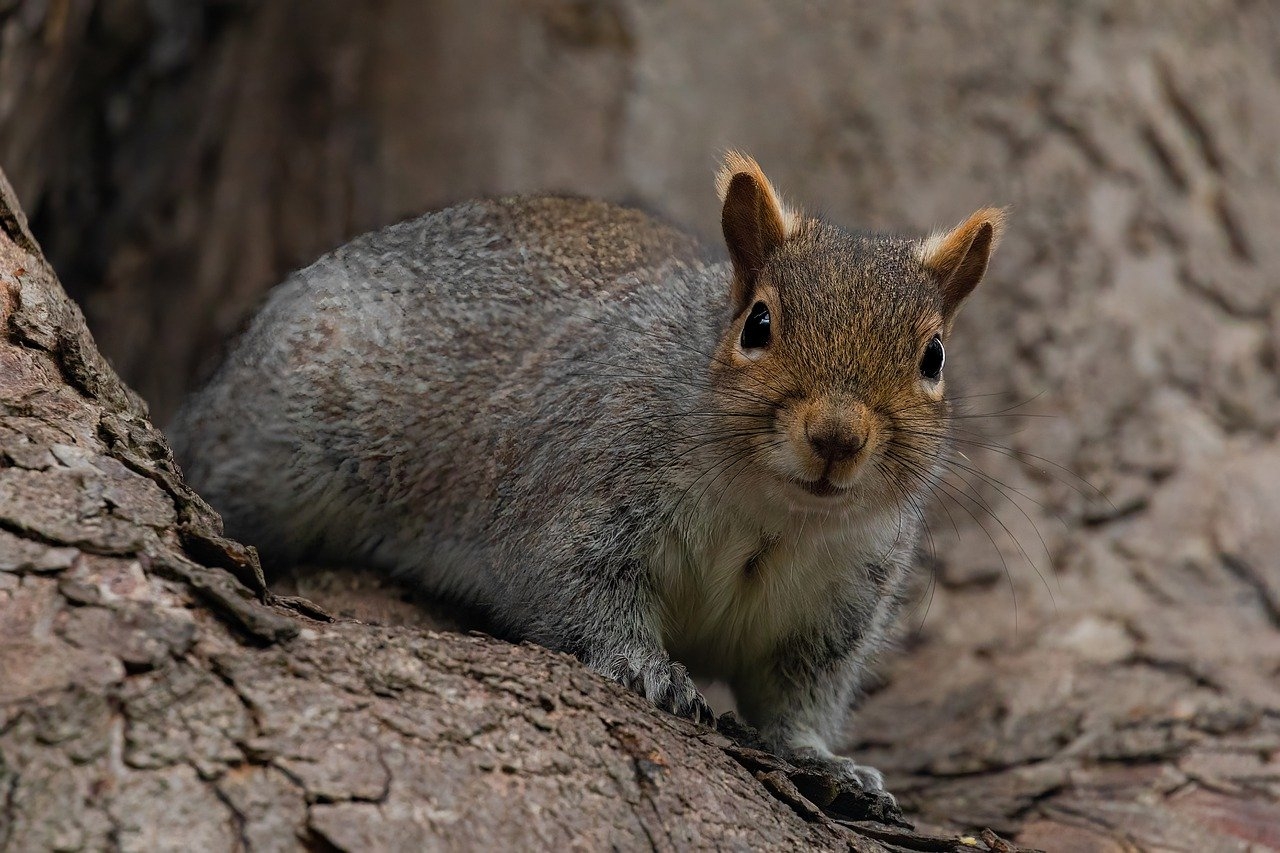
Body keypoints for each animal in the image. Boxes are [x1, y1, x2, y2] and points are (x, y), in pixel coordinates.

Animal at [170, 151, 1003, 788]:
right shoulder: (583, 489)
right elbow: (575, 590)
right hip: (276, 441)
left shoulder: (840, 599)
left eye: (933, 357)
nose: (836, 437)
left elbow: (798, 692)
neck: (774, 515)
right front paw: (647, 666)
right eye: (758, 323)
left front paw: (823, 760)